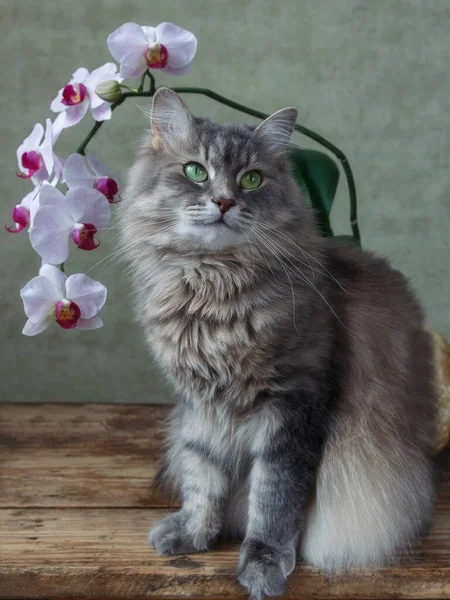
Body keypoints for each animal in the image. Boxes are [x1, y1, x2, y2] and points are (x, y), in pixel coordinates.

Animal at [118, 89, 438, 600]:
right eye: (196, 171)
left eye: (252, 179)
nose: (224, 200)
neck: (212, 292)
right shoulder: (199, 405)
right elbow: (201, 475)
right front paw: (194, 534)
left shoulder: (293, 406)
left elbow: (273, 499)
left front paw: (263, 564)